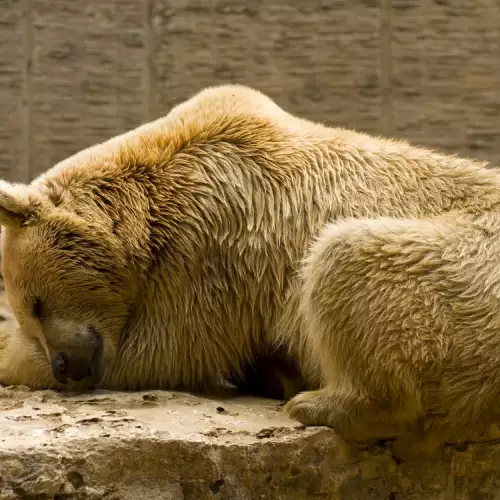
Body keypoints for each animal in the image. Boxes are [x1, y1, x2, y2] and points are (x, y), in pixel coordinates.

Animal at [0, 85, 500, 454]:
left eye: (35, 303)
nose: (66, 366)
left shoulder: (211, 239)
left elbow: (163, 350)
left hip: (465, 276)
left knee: (346, 255)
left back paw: (317, 404)